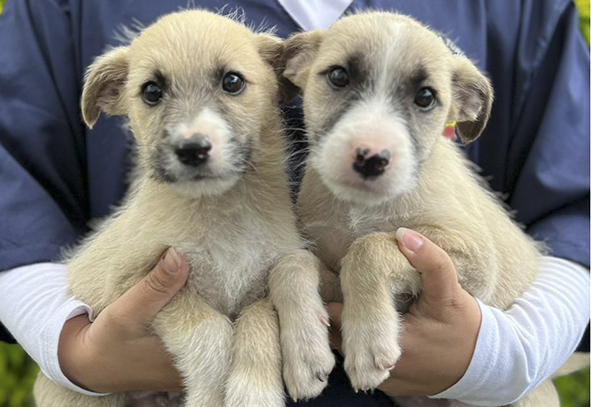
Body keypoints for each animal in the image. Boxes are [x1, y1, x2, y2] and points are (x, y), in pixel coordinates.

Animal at [33, 8, 320, 407]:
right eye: (152, 91)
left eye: (232, 81)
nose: (192, 149)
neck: (222, 212)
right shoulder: (135, 285)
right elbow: (211, 331)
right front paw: (212, 396)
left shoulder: (265, 278)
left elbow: (272, 297)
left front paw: (272, 378)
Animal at [276, 11, 580, 407]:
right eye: (339, 76)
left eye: (425, 97)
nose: (371, 158)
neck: (360, 205)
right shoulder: (329, 271)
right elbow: (291, 262)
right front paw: (304, 354)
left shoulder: (474, 262)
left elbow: (368, 248)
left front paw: (368, 343)